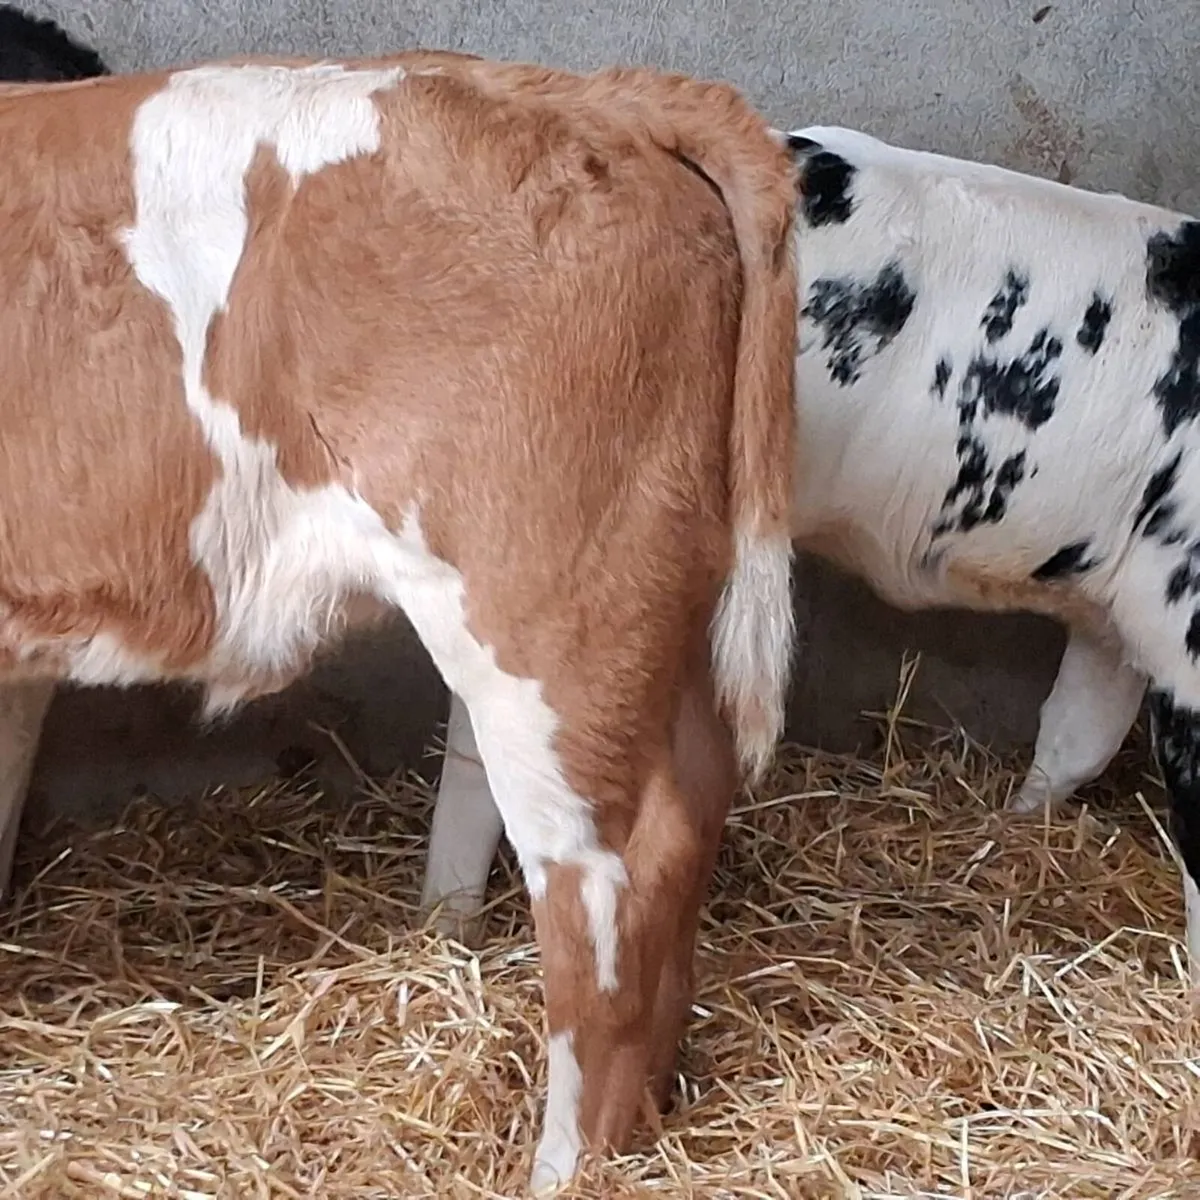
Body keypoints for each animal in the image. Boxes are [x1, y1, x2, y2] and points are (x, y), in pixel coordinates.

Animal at [0, 52, 800, 1190]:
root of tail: (589, 93)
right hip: (653, 607)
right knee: (693, 804)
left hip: (544, 615)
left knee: (607, 879)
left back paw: (564, 1165)